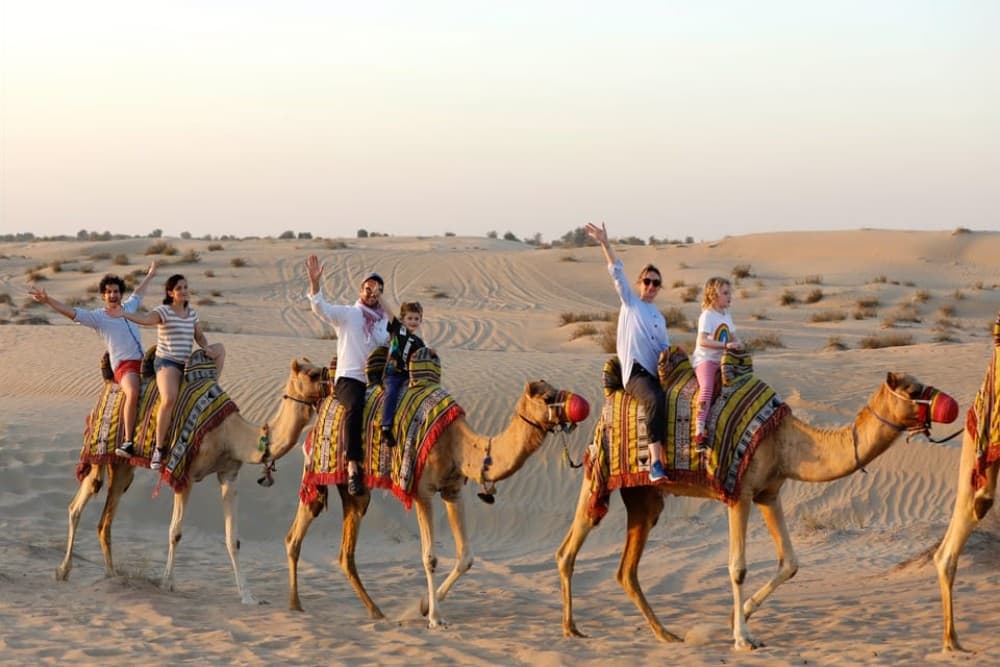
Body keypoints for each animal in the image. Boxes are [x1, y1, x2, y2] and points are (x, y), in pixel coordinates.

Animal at [56, 358, 330, 604]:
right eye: (312, 374)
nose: (332, 385)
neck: (231, 434)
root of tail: (108, 384)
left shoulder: (229, 474)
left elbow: (233, 539)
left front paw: (248, 596)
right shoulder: (184, 475)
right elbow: (175, 532)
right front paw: (167, 584)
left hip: (123, 467)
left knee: (105, 520)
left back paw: (111, 576)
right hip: (99, 452)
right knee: (77, 506)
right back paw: (63, 571)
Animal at [285, 379, 590, 627]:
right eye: (547, 397)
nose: (580, 405)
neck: (459, 444)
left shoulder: (452, 490)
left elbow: (466, 556)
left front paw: (423, 606)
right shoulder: (423, 491)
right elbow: (430, 557)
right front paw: (434, 617)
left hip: (356, 491)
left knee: (344, 553)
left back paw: (375, 611)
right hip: (322, 472)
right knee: (298, 532)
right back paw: (296, 605)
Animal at [557, 371, 956, 650]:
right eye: (913, 390)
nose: (949, 404)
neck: (787, 441)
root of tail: (608, 404)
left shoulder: (769, 493)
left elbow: (791, 563)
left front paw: (740, 615)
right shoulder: (741, 493)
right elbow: (737, 568)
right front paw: (742, 638)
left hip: (644, 498)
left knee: (626, 570)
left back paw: (665, 634)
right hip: (600, 473)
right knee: (570, 547)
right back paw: (571, 628)